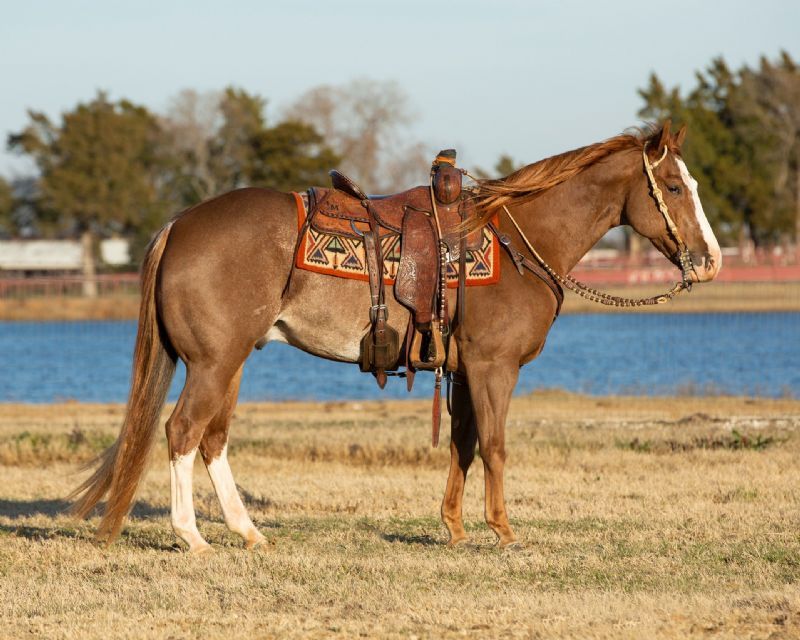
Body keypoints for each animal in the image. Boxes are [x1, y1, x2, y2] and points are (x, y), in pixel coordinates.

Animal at [70, 121, 721, 551]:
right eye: (675, 186)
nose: (711, 260)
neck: (520, 240)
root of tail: (180, 223)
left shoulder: (462, 370)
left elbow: (463, 444)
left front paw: (455, 528)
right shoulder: (494, 367)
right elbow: (495, 445)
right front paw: (503, 531)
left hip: (229, 363)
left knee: (212, 440)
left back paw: (246, 532)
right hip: (212, 363)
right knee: (182, 432)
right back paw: (192, 537)